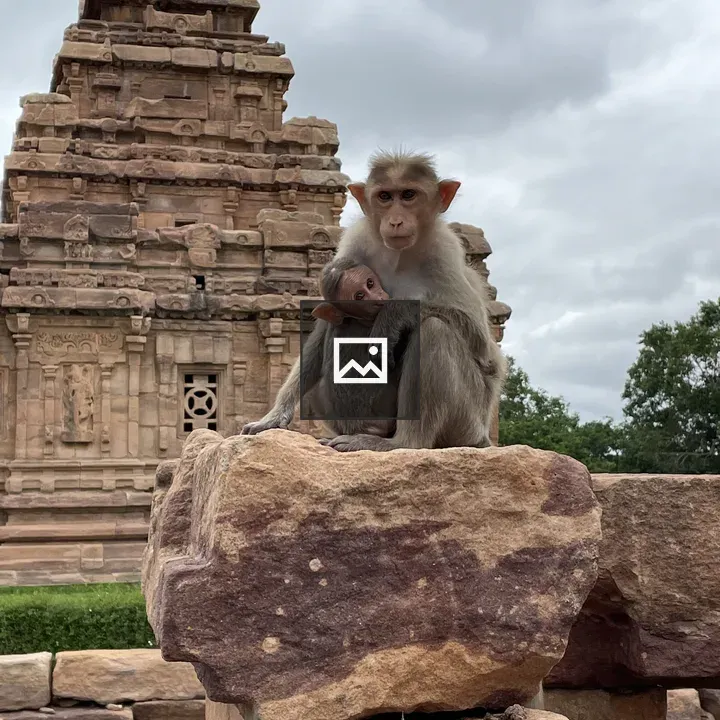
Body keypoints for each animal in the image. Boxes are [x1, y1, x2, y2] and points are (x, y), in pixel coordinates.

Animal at [241, 150, 506, 451]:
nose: (395, 221)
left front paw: (393, 315)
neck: (400, 255)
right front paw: (274, 416)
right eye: (384, 196)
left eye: (408, 194)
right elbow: (325, 321)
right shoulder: (357, 243)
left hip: (469, 419)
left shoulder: (445, 253)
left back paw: (400, 442)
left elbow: (482, 346)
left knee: (436, 330)